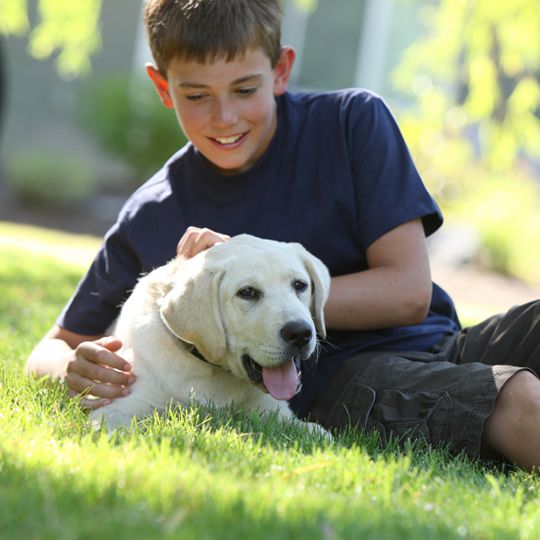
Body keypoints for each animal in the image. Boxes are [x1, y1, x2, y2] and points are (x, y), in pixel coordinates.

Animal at [89, 234, 330, 432]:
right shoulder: (116, 409)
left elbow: (319, 433)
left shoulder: (274, 413)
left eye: (300, 285)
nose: (300, 333)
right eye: (247, 292)